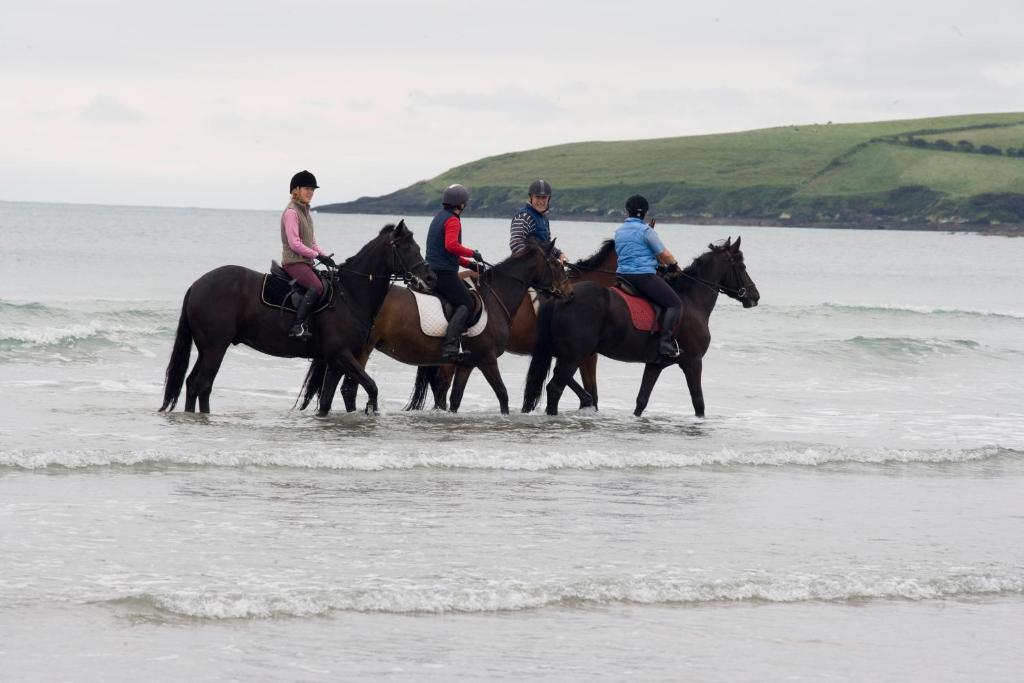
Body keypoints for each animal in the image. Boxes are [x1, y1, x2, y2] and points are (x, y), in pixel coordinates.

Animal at [157, 222, 434, 419]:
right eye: (407, 248)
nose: (430, 278)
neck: (350, 294)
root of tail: (198, 284)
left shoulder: (336, 361)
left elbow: (326, 400)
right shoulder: (341, 355)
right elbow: (371, 387)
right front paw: (371, 411)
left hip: (208, 348)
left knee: (194, 383)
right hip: (215, 347)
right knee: (201, 384)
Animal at [301, 237, 577, 413]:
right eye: (557, 264)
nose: (570, 293)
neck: (495, 297)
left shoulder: (467, 363)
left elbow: (455, 399)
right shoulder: (487, 359)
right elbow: (502, 394)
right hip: (361, 349)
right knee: (350, 388)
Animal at [524, 236, 757, 417]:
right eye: (742, 266)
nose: (755, 296)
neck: (691, 300)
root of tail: (563, 295)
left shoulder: (655, 364)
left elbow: (642, 400)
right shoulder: (693, 362)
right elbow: (698, 402)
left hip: (566, 353)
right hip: (574, 356)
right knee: (555, 388)